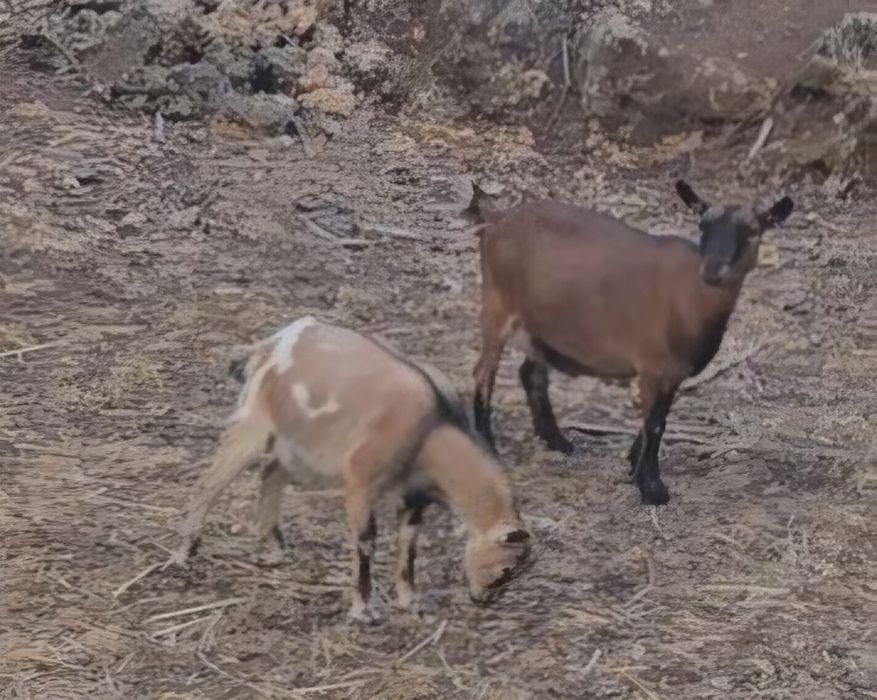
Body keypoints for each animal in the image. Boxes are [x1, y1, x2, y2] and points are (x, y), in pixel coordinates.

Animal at [170, 317, 532, 619]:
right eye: (506, 569)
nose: (483, 598)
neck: (431, 429)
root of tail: (272, 345)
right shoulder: (361, 480)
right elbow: (365, 541)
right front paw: (363, 610)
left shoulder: (413, 497)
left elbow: (409, 546)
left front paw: (409, 601)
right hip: (256, 426)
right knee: (210, 481)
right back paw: (183, 554)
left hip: (297, 446)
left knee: (270, 474)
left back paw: (276, 549)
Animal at [469, 181, 794, 505]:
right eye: (703, 226)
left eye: (752, 230)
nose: (713, 271)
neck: (689, 299)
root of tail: (498, 219)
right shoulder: (652, 364)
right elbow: (654, 423)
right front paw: (652, 487)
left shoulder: (673, 371)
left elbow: (659, 418)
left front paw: (634, 466)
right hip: (498, 303)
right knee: (484, 371)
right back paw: (488, 445)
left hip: (541, 323)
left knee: (531, 373)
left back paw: (557, 441)